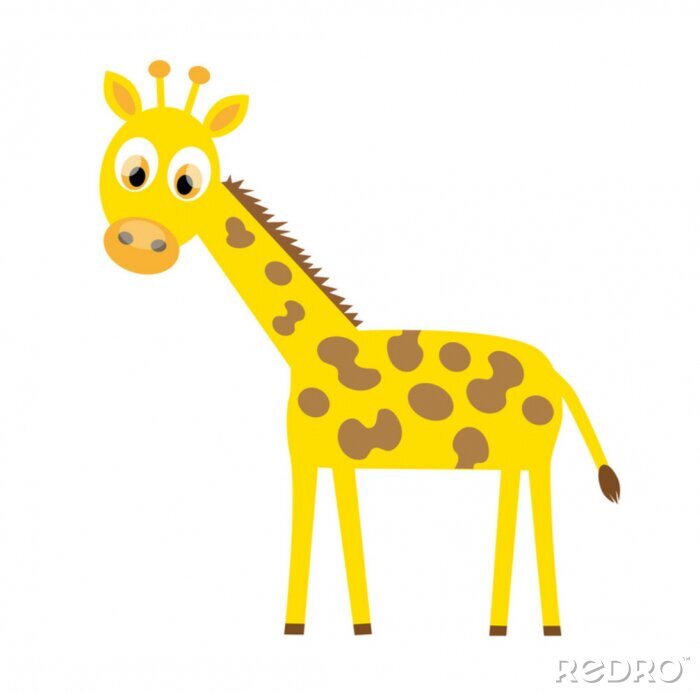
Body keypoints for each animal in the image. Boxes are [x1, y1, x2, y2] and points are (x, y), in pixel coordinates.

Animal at [100, 61, 621, 638]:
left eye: (187, 182)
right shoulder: (338, 458)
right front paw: (358, 630)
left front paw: (297, 629)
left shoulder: (305, 457)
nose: (140, 244)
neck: (308, 348)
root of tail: (559, 375)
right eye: (132, 171)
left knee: (542, 517)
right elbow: (346, 533)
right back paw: (497, 629)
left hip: (535, 456)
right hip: (511, 458)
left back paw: (548, 630)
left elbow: (307, 529)